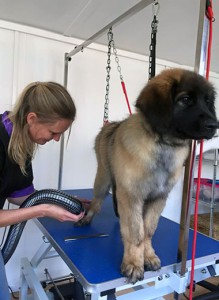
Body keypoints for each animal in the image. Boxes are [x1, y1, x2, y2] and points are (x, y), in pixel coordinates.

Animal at [77, 68, 217, 284]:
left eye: (208, 100)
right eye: (185, 99)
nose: (214, 125)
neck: (163, 144)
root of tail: (109, 126)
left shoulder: (158, 197)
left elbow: (148, 229)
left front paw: (148, 256)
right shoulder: (132, 195)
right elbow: (136, 232)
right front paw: (134, 263)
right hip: (103, 179)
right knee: (97, 201)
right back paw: (87, 217)